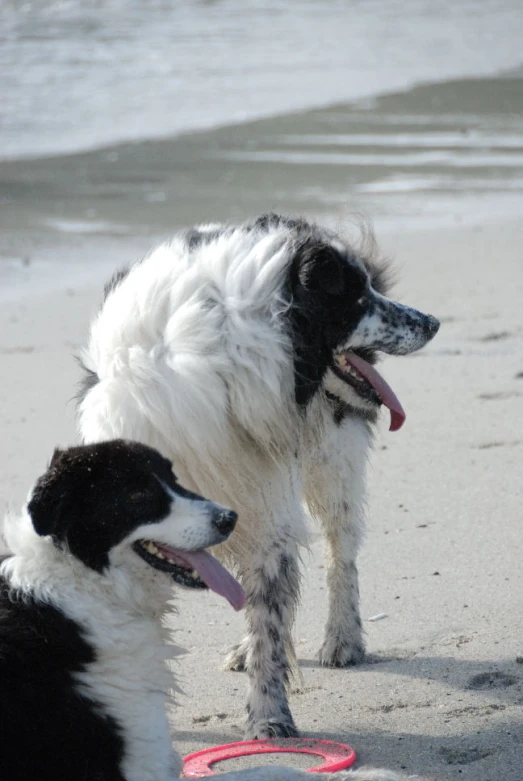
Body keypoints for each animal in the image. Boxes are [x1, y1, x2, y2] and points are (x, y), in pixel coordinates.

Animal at [0, 438, 400, 780]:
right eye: (137, 494)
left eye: (174, 478)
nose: (229, 518)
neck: (82, 580)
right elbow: (280, 771)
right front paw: (373, 774)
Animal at [77, 212, 438, 736]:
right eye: (356, 296)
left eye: (369, 286)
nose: (432, 322)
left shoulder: (268, 502)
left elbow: (272, 610)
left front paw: (269, 718)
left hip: (334, 461)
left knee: (340, 552)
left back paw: (343, 639)